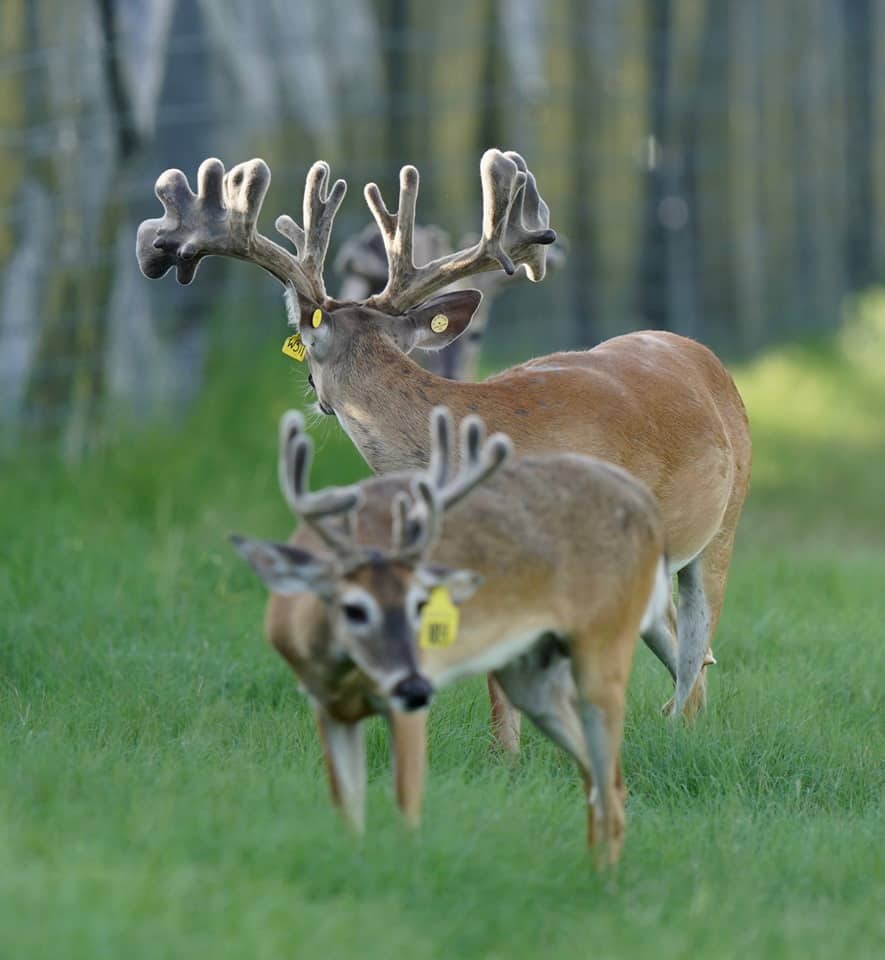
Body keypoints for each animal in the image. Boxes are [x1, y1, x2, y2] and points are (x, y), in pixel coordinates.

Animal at [136, 148, 751, 751]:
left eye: (308, 345)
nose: (314, 393)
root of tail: (701, 352)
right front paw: (507, 759)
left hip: (722, 522)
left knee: (696, 643)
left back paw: (681, 732)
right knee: (686, 653)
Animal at [231, 406, 670, 866]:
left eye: (420, 605)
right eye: (353, 608)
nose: (415, 684)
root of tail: (647, 507)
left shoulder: (407, 708)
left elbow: (407, 806)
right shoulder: (326, 705)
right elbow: (347, 813)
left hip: (606, 640)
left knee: (612, 781)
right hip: (532, 675)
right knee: (597, 778)